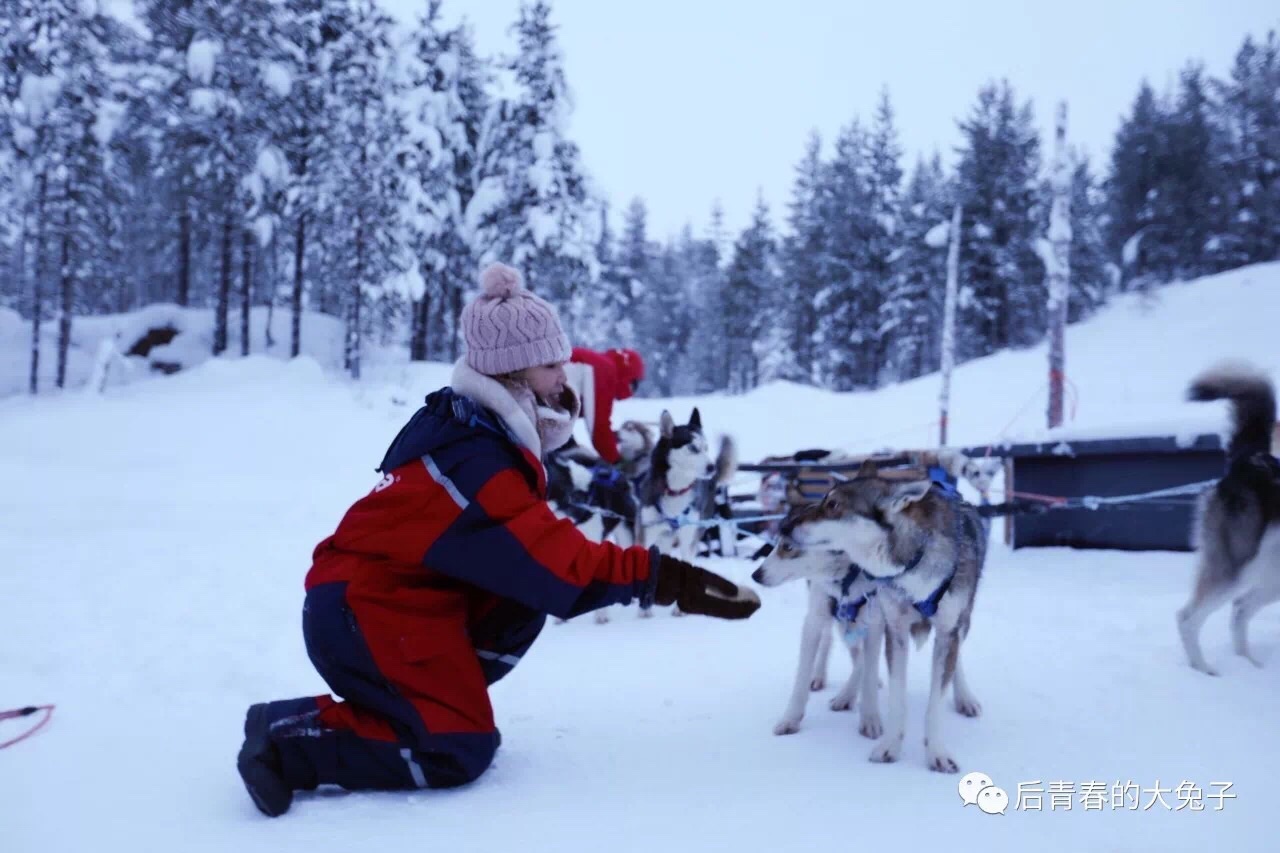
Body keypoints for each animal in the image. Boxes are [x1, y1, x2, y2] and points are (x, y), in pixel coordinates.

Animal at [634, 409, 737, 614]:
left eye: (706, 448)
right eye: (692, 448)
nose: (712, 467)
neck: (675, 491)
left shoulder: (689, 535)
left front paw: (680, 610)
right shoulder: (647, 532)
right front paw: (644, 612)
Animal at [747, 466, 988, 768]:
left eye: (833, 504)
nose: (785, 525)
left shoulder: (919, 628)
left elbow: (933, 701)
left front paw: (936, 753)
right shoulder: (885, 627)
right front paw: (889, 745)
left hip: (960, 621)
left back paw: (964, 697)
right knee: (840, 648)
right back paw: (836, 686)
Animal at [1172, 361, 1280, 676]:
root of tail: (1253, 458)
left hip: (1272, 573)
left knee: (1240, 607)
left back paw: (1250, 664)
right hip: (1237, 564)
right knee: (1188, 617)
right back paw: (1204, 670)